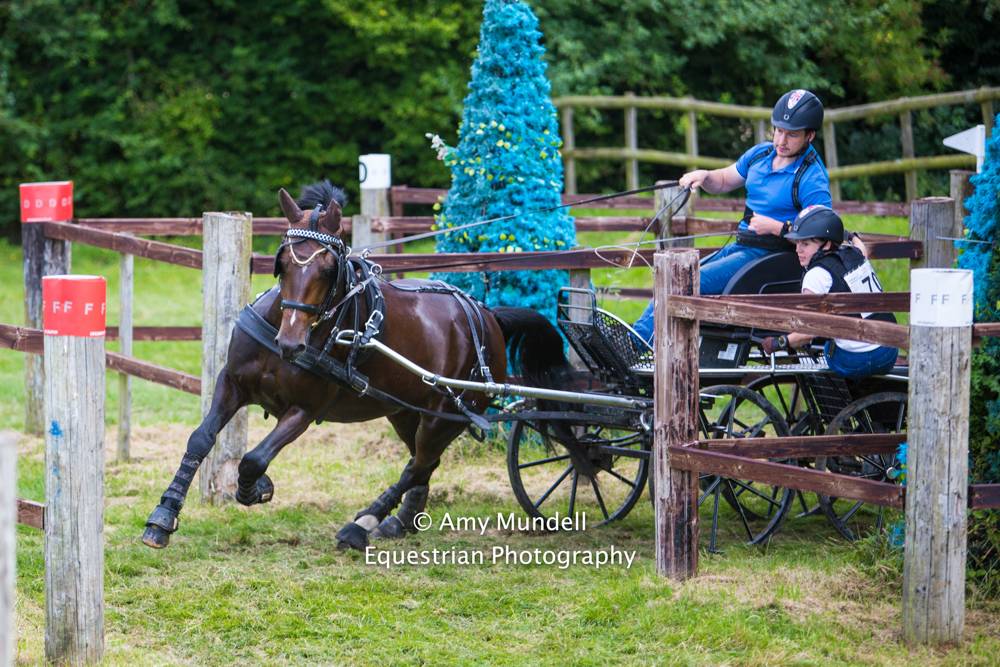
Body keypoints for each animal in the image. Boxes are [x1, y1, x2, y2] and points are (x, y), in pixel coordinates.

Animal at [142, 181, 572, 550]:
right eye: (283, 264)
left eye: (328, 270)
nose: (291, 344)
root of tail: (488, 316)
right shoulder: (232, 383)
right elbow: (200, 438)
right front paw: (163, 517)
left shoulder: (304, 410)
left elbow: (254, 458)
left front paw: (255, 488)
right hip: (404, 410)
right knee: (423, 462)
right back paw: (399, 522)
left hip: (447, 414)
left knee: (418, 464)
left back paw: (361, 524)